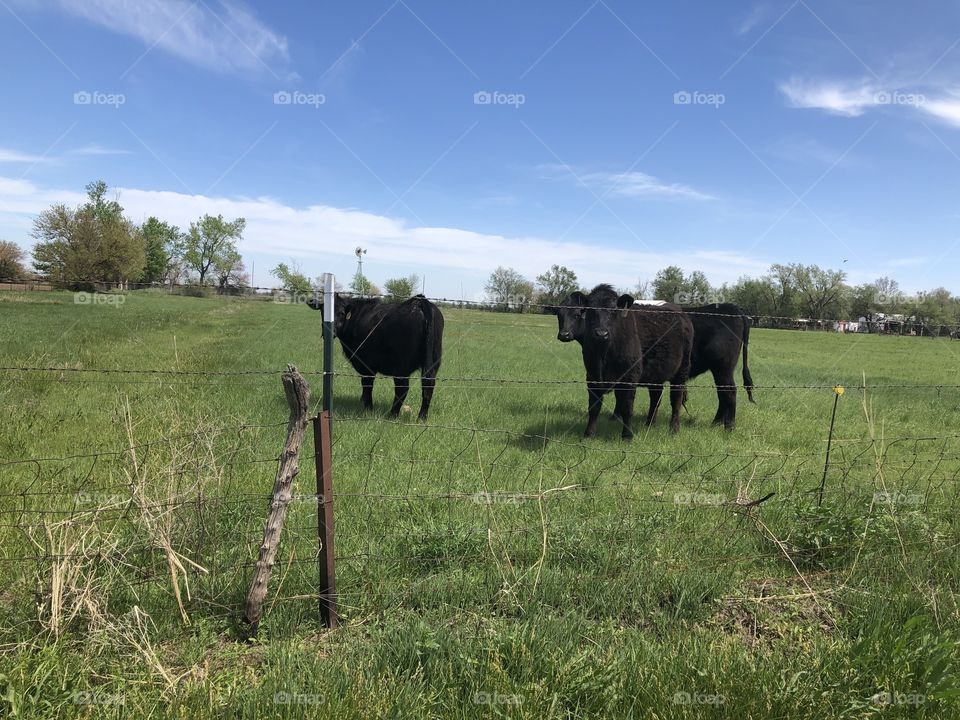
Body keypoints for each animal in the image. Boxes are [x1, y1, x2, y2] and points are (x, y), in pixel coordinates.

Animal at [306, 292, 444, 420]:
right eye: (323, 310)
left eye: (341, 313)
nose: (329, 331)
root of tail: (419, 302)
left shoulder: (366, 364)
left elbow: (367, 384)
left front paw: (367, 408)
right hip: (433, 362)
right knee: (428, 385)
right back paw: (422, 417)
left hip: (401, 367)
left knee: (402, 389)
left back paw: (392, 415)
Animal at [568, 286, 692, 438]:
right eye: (590, 310)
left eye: (614, 310)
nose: (601, 334)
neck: (604, 355)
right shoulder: (592, 376)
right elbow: (594, 407)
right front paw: (588, 434)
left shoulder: (629, 377)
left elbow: (627, 407)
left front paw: (627, 435)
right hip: (656, 374)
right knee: (656, 397)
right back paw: (649, 424)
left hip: (682, 370)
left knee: (676, 398)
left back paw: (674, 429)